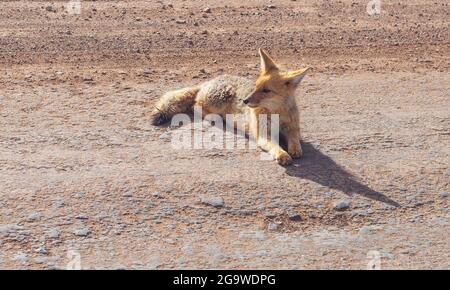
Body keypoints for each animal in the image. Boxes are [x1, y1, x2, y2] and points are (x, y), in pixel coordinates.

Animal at [151, 49, 310, 165]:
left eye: (266, 90)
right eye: (256, 86)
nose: (244, 100)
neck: (277, 113)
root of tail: (208, 81)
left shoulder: (292, 128)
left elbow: (295, 139)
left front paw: (295, 149)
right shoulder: (264, 135)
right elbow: (275, 146)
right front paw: (282, 154)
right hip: (218, 102)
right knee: (196, 106)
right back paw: (217, 118)